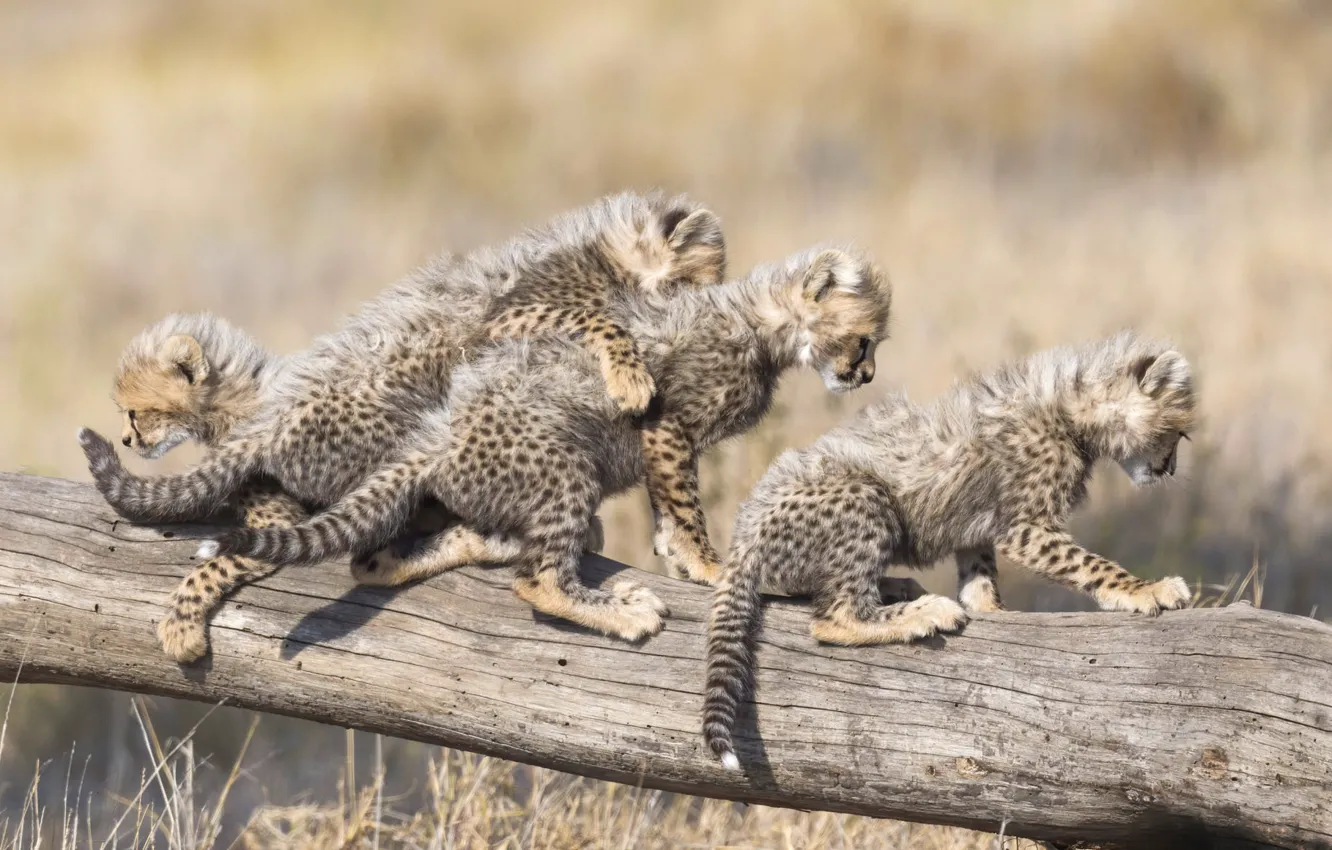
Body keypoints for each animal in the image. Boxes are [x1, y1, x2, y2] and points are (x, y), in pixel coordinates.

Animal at [702, 331, 1197, 769]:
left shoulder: (977, 530)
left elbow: (980, 576)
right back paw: (923, 611)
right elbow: (1092, 565)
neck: (1072, 409)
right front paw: (1147, 590)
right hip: (865, 496)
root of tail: (743, 531)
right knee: (834, 616)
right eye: (1177, 433)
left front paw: (992, 610)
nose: (1170, 469)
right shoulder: (1026, 527)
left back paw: (897, 586)